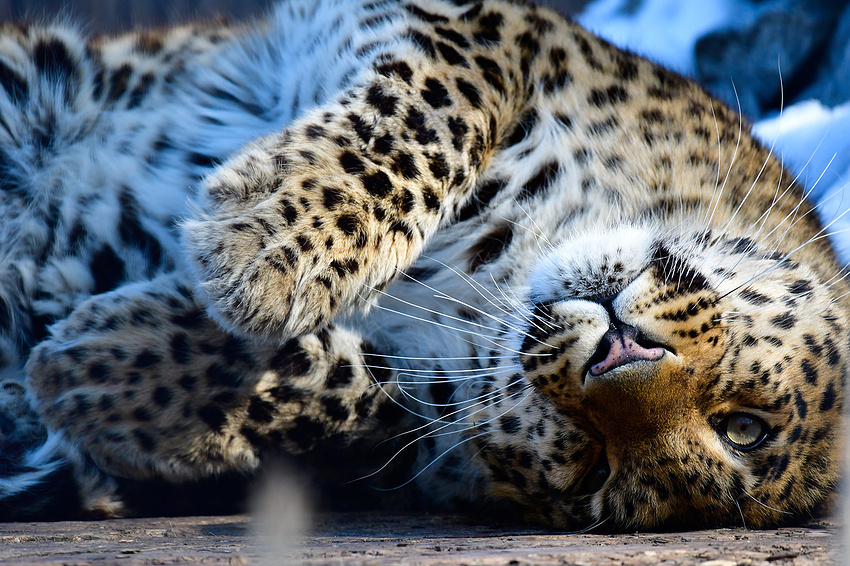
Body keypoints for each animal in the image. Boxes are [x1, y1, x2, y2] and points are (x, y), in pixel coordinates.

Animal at [0, 0, 840, 532]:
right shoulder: (488, 28)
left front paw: (97, 371)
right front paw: (258, 244)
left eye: (596, 473)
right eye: (745, 427)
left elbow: (358, 388)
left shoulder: (413, 425)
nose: (616, 353)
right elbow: (441, 104)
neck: (491, 283)